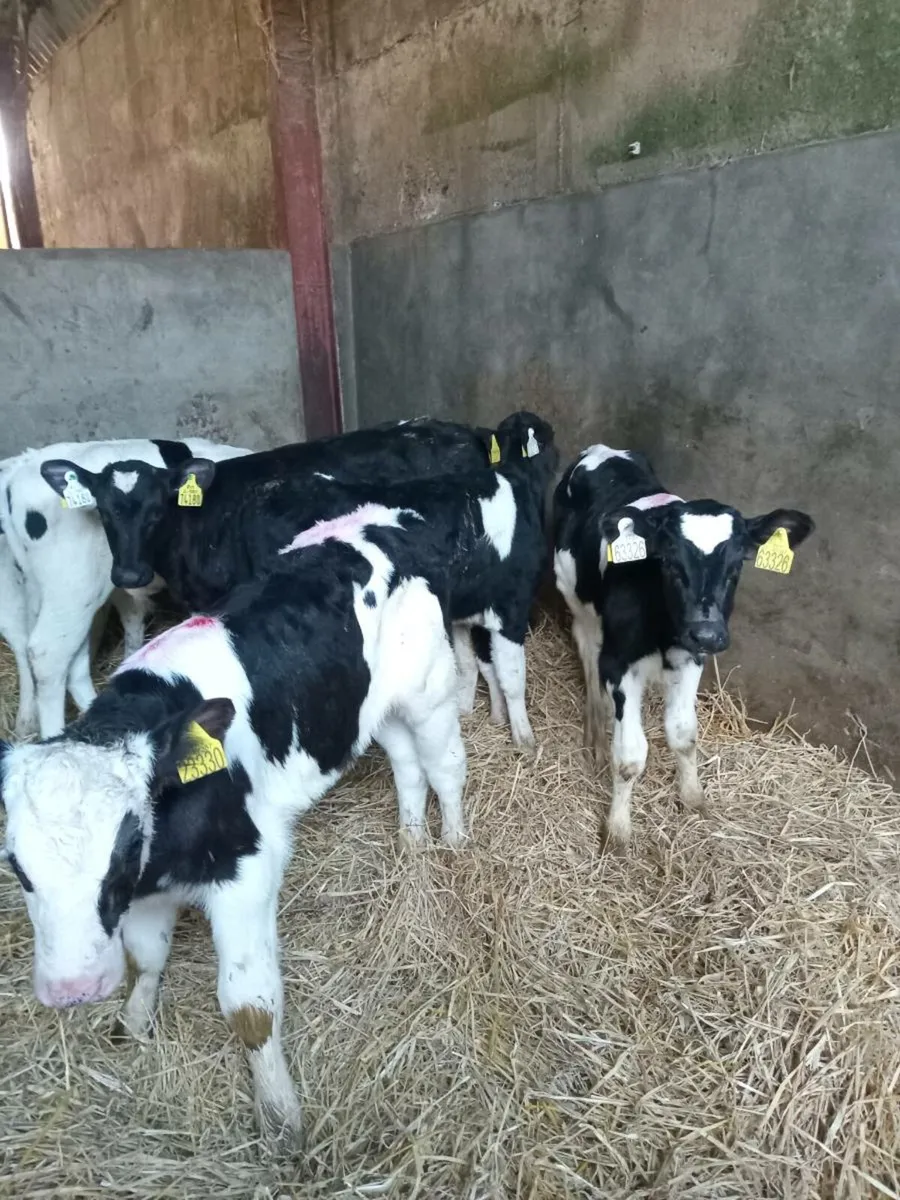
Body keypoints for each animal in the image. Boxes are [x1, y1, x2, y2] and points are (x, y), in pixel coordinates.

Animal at [0, 438, 250, 738]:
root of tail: (21, 466)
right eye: (104, 513)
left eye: (157, 512)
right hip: (73, 588)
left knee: (37, 645)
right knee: (47, 653)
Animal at [0, 515, 467, 1139]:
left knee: (445, 766)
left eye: (123, 848)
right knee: (407, 765)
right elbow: (146, 958)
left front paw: (281, 1117)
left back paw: (454, 841)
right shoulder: (147, 894)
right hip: (366, 710)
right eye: (17, 866)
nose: (72, 991)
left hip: (429, 691)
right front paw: (135, 1018)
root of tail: (387, 517)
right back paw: (411, 840)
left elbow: (249, 1006)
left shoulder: (247, 871)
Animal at [553, 444, 814, 849]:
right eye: (669, 560)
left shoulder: (691, 658)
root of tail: (601, 449)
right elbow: (630, 756)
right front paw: (617, 830)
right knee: (587, 651)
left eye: (737, 564)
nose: (707, 633)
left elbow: (683, 733)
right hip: (576, 597)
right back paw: (595, 729)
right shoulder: (619, 663)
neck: (663, 629)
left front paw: (692, 797)